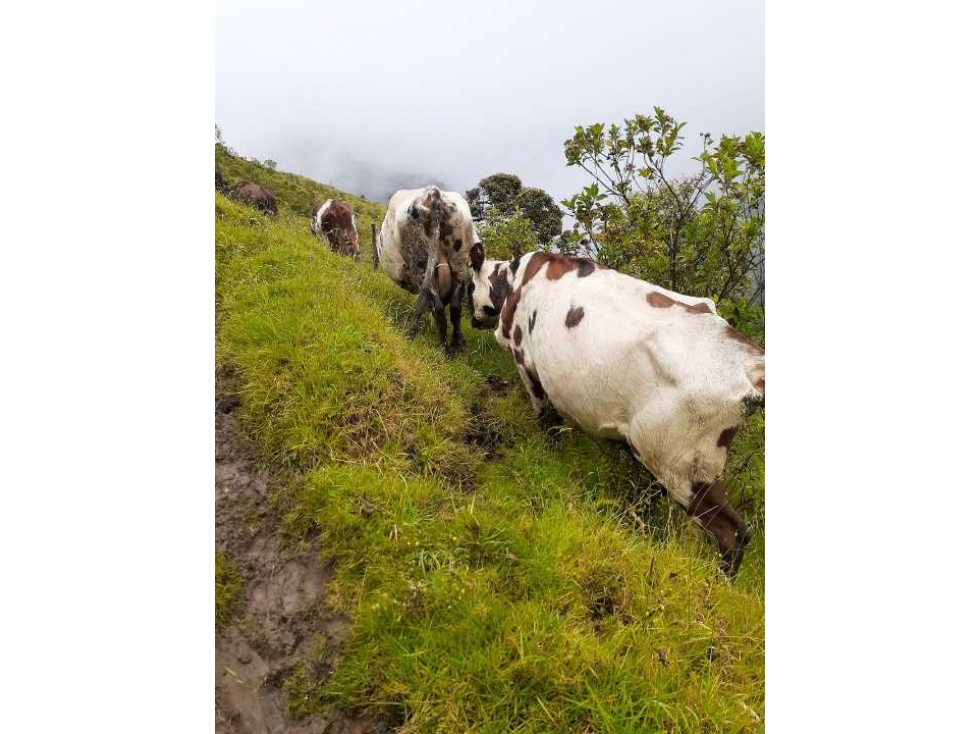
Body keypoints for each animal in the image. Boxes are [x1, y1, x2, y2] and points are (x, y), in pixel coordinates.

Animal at [378, 187, 480, 354]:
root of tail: (432, 191)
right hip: (460, 267)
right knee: (455, 308)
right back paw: (456, 344)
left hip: (422, 266)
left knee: (438, 307)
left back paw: (442, 348)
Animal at [470, 249, 768, 580]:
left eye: (468, 284)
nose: (472, 317)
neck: (516, 279)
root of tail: (752, 365)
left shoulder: (526, 361)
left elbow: (547, 423)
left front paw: (549, 456)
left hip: (680, 466)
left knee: (732, 532)